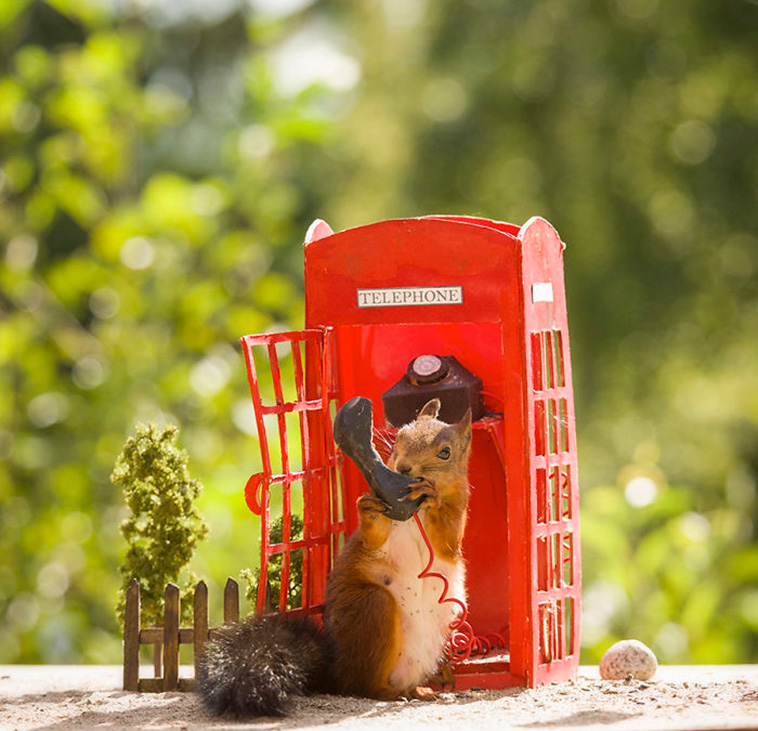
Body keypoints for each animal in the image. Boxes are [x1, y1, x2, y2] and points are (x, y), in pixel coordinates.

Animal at [197, 398, 472, 716]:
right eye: (399, 437)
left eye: (445, 452)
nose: (403, 466)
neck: (417, 511)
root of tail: (335, 673)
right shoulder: (376, 535)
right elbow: (374, 537)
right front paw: (369, 507)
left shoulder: (457, 521)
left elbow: (446, 539)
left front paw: (434, 499)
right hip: (373, 608)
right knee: (362, 686)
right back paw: (397, 692)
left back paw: (420, 690)